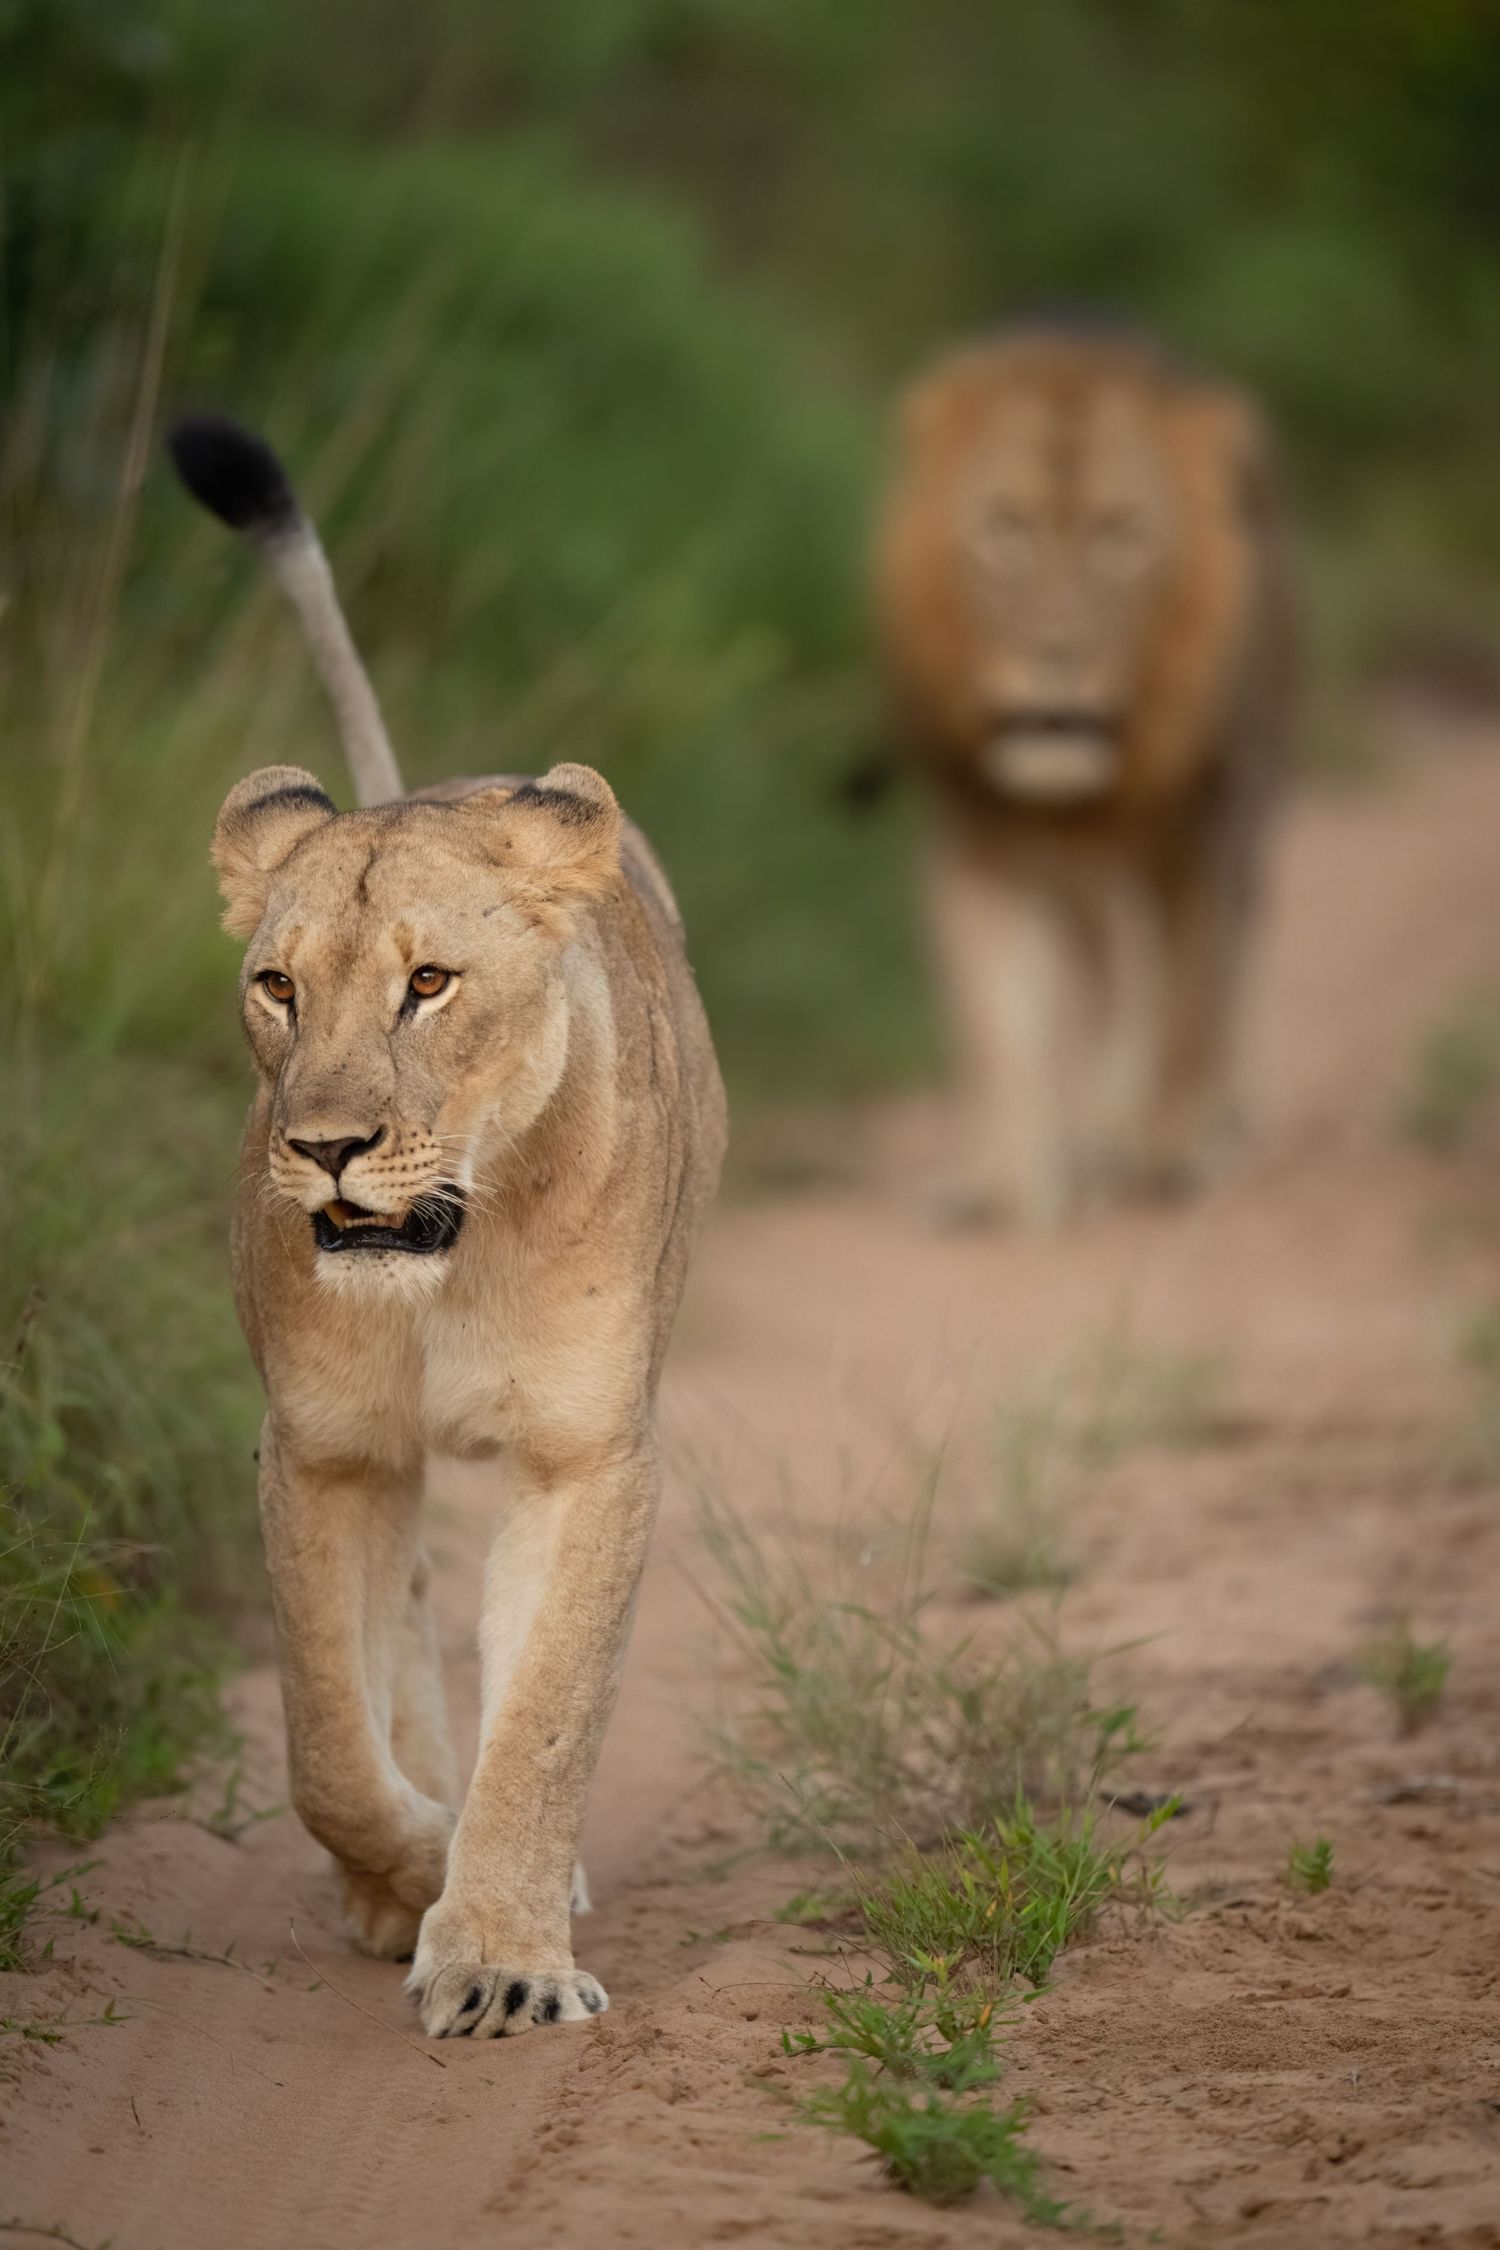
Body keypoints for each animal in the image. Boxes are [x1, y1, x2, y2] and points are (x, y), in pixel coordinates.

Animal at [168, 415, 726, 2037]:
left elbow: (541, 1719)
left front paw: (496, 1955)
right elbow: (324, 1740)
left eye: (429, 983)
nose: (325, 1150)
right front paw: (414, 1866)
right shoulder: (319, 1447)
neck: (451, 1263)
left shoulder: (590, 1453)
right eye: (278, 986)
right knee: (401, 1621)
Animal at [874, 321, 1295, 1224]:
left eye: (1120, 532)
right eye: (1004, 526)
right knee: (1103, 983)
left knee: (1215, 970)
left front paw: (1172, 1159)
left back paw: (1192, 1131)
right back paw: (1092, 1141)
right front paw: (1004, 1185)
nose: (1055, 657)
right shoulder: (977, 835)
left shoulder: (1202, 830)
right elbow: (996, 1019)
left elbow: (1188, 1001)